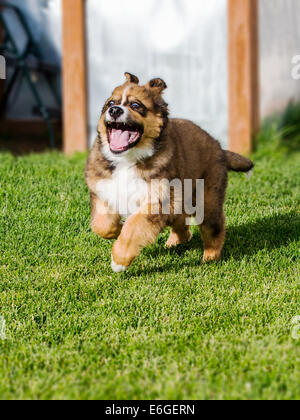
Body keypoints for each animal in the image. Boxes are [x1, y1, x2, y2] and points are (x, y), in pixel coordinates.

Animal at [84, 73, 253, 272]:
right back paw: (174, 243)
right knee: (181, 224)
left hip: (207, 200)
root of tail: (219, 147)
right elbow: (101, 224)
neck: (128, 159)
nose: (115, 111)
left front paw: (119, 261)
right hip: (180, 201)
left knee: (214, 228)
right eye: (110, 103)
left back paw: (210, 258)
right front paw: (118, 228)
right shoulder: (103, 189)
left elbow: (133, 227)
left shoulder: (157, 201)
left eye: (136, 105)